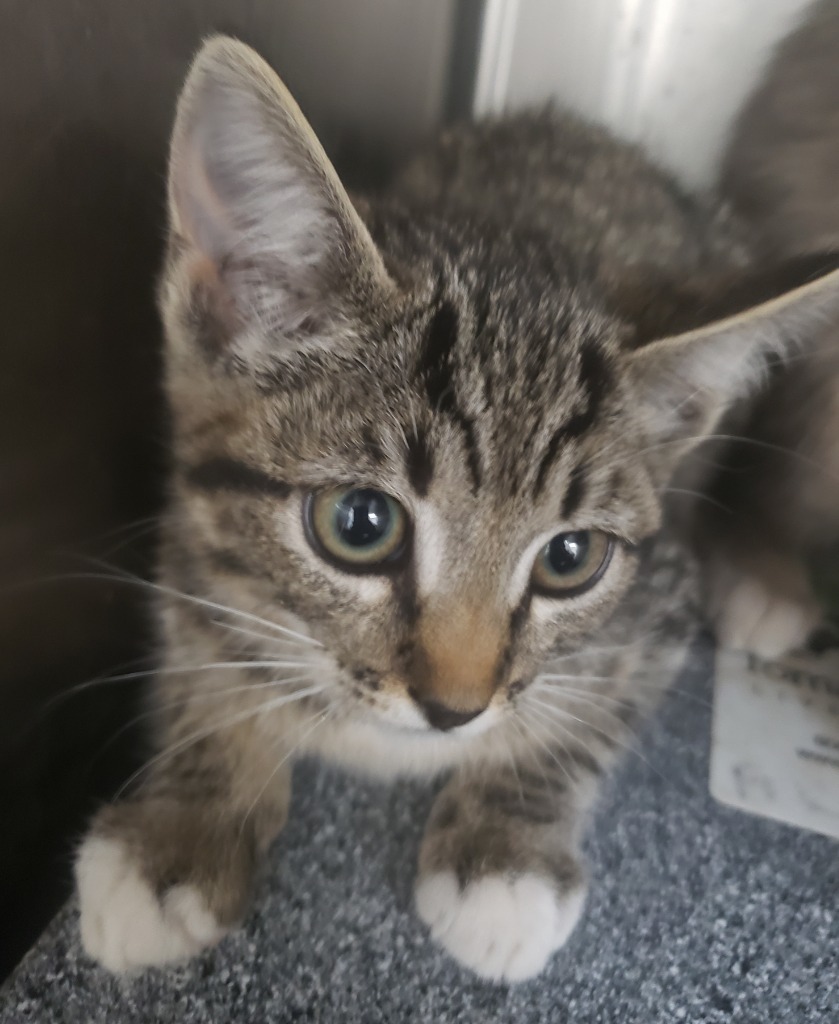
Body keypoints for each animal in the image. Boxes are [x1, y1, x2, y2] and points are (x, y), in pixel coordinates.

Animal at [73, 36, 839, 978]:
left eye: (569, 559)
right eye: (359, 525)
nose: (456, 709)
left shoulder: (661, 601)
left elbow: (583, 717)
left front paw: (504, 860)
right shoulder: (189, 542)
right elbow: (201, 661)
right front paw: (175, 835)